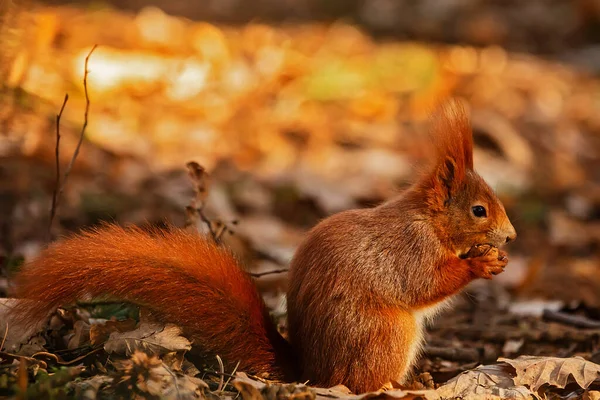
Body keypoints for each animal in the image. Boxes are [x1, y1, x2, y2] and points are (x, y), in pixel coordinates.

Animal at [10, 100, 516, 394]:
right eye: (479, 211)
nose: (511, 237)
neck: (427, 220)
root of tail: (312, 373)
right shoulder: (408, 250)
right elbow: (425, 284)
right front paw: (481, 265)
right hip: (387, 334)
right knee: (363, 384)